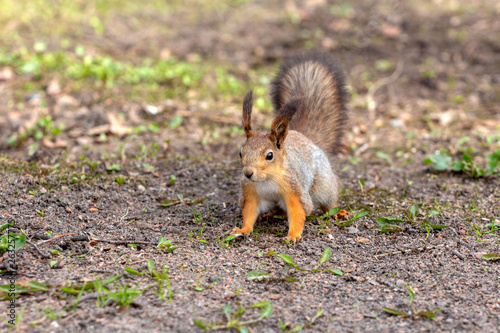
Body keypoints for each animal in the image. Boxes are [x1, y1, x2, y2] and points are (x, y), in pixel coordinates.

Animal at [230, 50, 348, 243]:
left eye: (269, 155)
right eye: (240, 153)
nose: (248, 173)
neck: (267, 180)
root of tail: (304, 137)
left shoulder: (293, 189)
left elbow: (297, 211)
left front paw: (292, 235)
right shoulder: (250, 191)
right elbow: (249, 212)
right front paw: (243, 229)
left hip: (323, 184)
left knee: (327, 201)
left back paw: (336, 211)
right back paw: (271, 215)